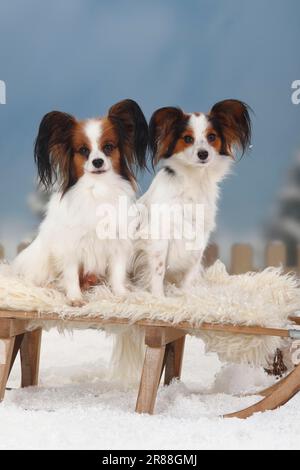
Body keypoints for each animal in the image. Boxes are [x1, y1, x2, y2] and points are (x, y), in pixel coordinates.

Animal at [13, 99, 148, 304]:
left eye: (108, 147)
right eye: (83, 150)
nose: (97, 161)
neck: (97, 188)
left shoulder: (118, 241)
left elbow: (117, 273)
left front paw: (121, 294)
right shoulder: (70, 246)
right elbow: (70, 274)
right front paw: (75, 298)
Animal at [133, 99, 251, 296]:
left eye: (212, 137)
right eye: (187, 139)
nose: (203, 154)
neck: (194, 179)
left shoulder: (200, 234)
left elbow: (192, 268)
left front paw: (187, 294)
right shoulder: (160, 236)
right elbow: (158, 270)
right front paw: (158, 297)